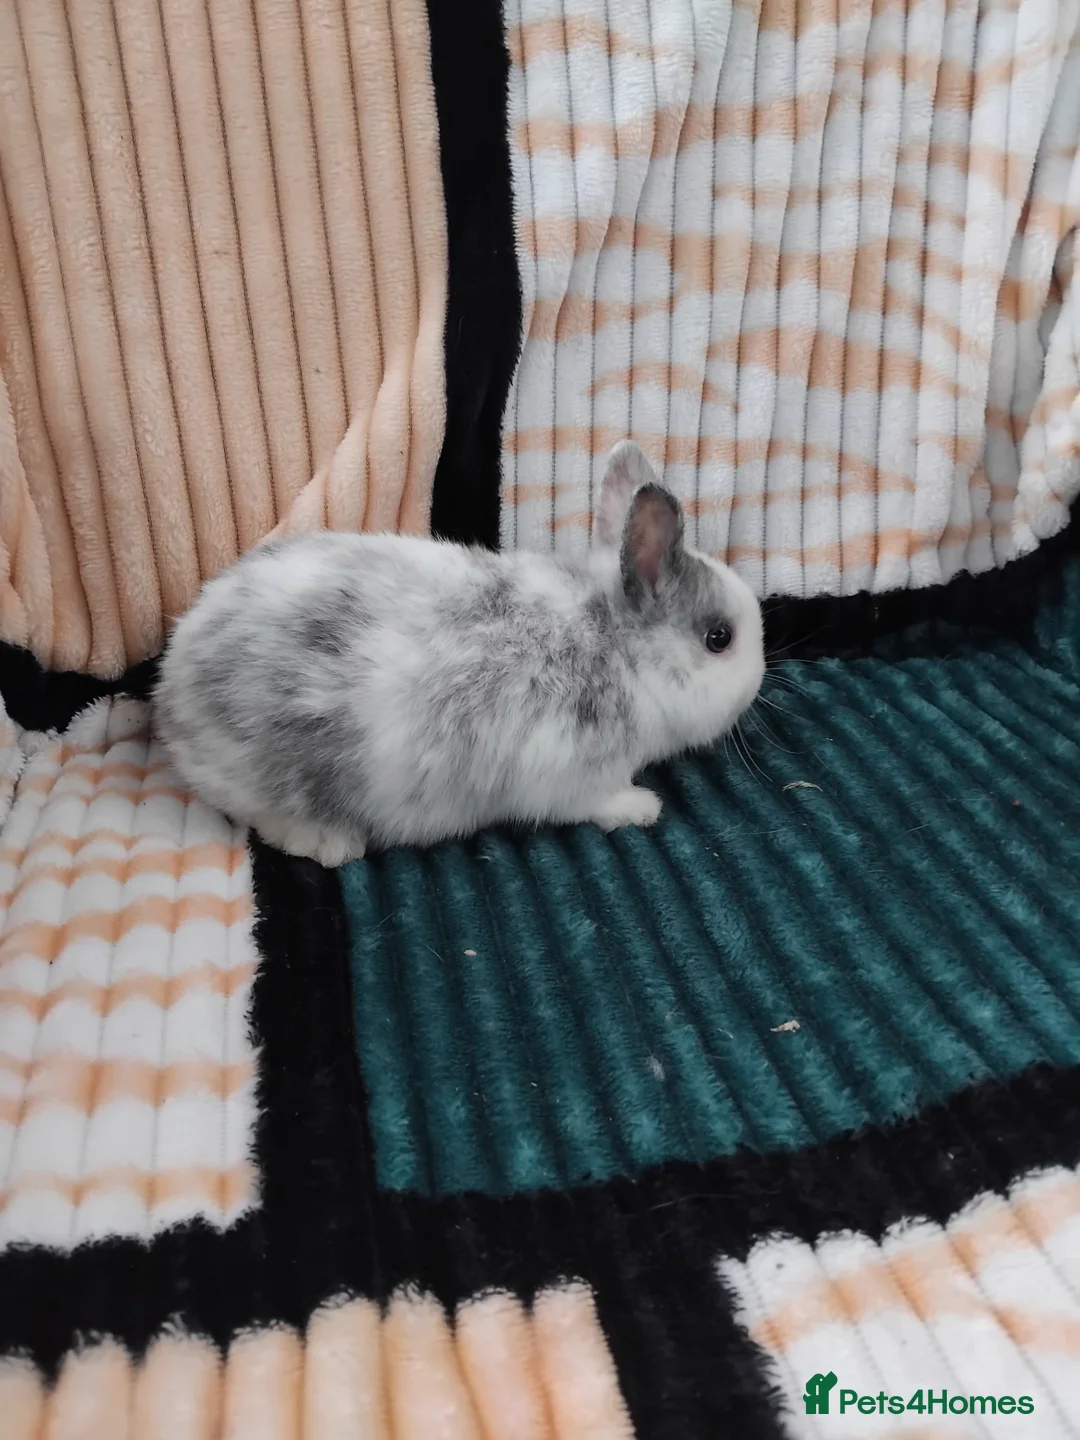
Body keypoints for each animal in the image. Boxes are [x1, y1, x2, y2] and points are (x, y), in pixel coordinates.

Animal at [154, 441, 765, 866]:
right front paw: (642, 808)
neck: (619, 651)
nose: (760, 679)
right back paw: (332, 843)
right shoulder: (575, 774)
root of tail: (171, 693)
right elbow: (596, 803)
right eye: (719, 638)